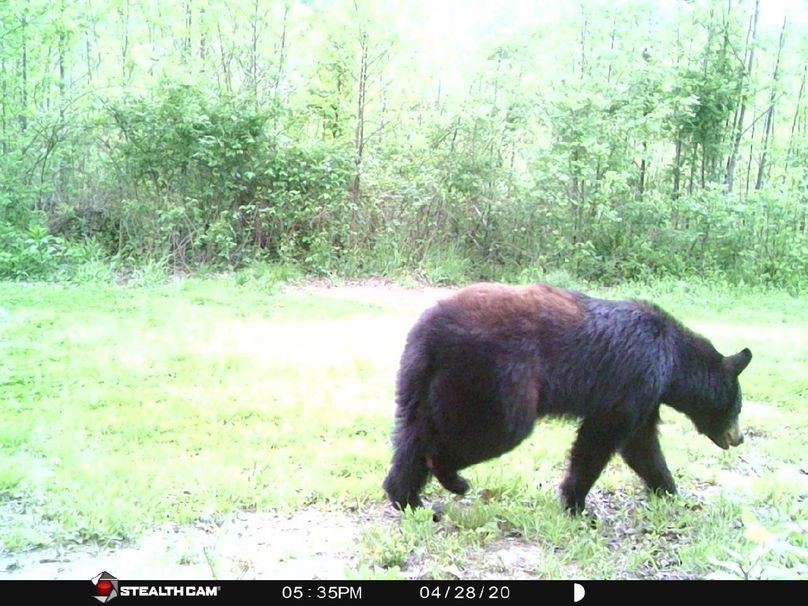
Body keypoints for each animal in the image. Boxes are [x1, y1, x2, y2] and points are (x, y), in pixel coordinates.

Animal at [382, 282, 752, 514]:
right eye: (737, 407)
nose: (739, 438)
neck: (672, 360)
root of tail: (430, 334)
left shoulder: (646, 397)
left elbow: (642, 446)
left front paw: (670, 490)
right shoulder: (634, 379)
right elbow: (600, 439)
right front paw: (576, 505)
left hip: (422, 381)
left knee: (413, 433)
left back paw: (405, 497)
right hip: (494, 377)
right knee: (491, 431)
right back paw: (452, 478)